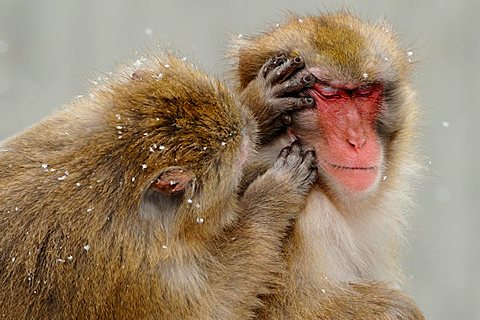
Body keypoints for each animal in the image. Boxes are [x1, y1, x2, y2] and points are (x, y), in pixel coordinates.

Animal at [0, 53, 318, 318]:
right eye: (240, 161)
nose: (251, 127)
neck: (115, 162)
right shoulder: (144, 271)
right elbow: (216, 304)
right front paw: (275, 191)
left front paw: (259, 103)